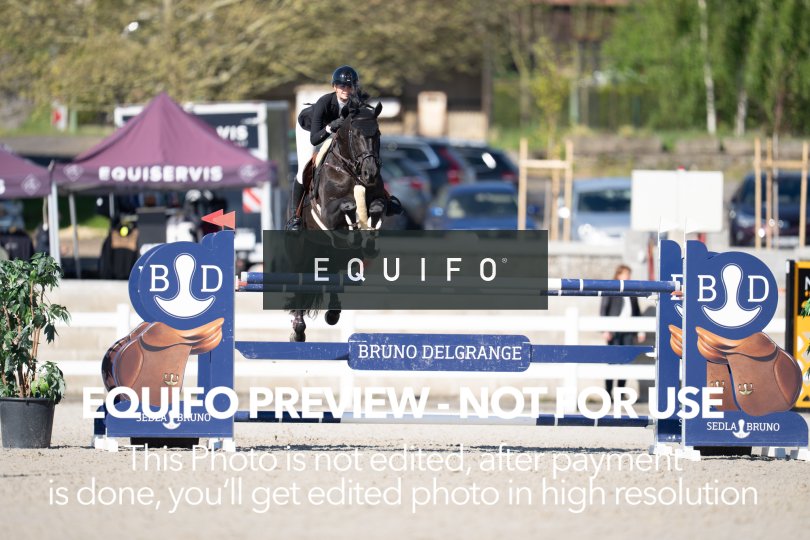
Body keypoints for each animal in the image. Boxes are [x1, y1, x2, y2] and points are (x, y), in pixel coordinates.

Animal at [289, 95, 389, 342]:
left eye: (378, 134)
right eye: (355, 133)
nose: (370, 174)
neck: (351, 170)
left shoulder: (380, 200)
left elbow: (376, 208)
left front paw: (368, 236)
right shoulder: (327, 212)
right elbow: (348, 205)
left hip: (334, 254)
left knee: (334, 274)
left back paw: (333, 313)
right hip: (302, 249)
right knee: (300, 278)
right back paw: (298, 329)